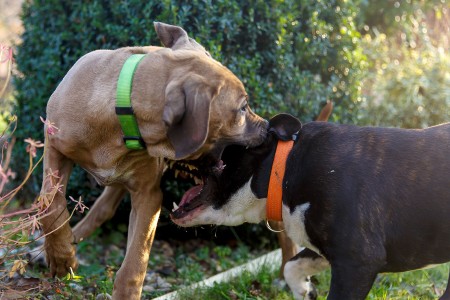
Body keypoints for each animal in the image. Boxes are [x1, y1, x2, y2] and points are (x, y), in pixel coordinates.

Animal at [40, 22, 268, 298]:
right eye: (243, 108)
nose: (269, 127)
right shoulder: (54, 145)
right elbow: (49, 203)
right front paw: (62, 258)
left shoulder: (148, 195)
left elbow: (134, 264)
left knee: (105, 206)